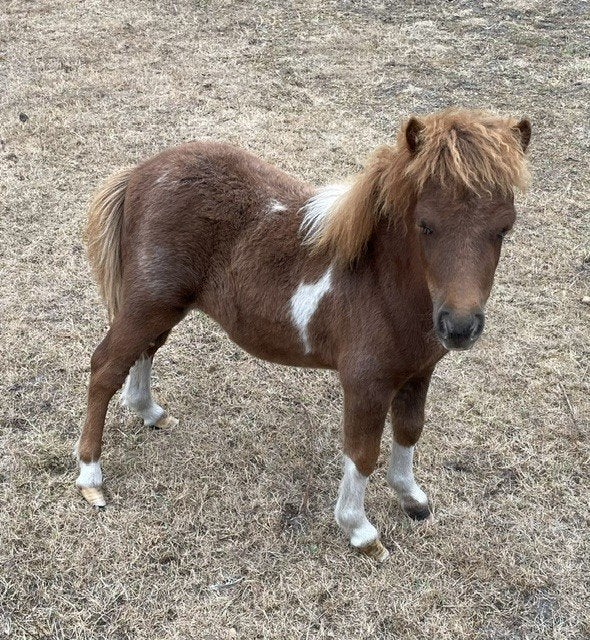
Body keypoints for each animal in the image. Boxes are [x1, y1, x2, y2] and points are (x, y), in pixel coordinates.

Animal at [76, 109, 531, 561]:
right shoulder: (365, 383)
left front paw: (412, 498)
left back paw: (149, 412)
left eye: (504, 228)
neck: (378, 281)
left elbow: (409, 431)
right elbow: (362, 454)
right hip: (149, 302)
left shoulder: (418, 373)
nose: (460, 328)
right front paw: (360, 530)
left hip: (164, 305)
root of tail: (142, 172)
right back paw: (91, 478)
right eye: (426, 225)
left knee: (145, 350)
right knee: (106, 366)